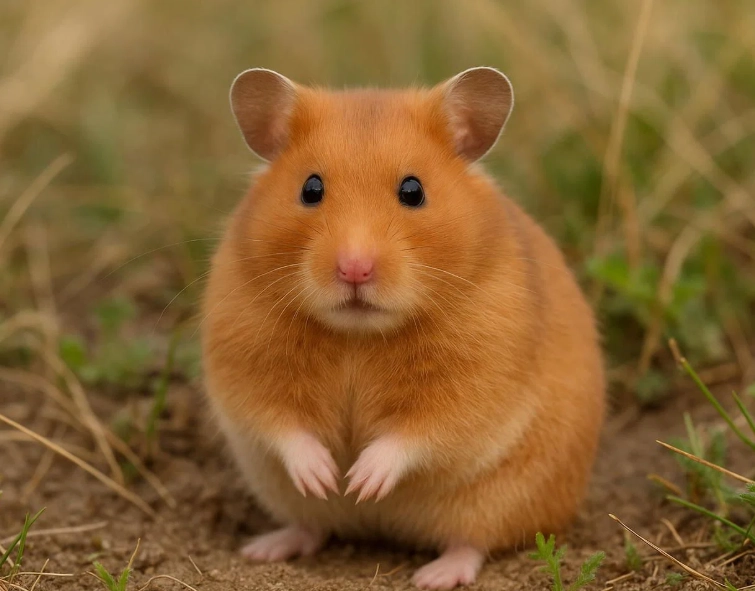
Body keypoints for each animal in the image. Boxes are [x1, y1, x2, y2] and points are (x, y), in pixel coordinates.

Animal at [201, 67, 605, 590]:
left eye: (413, 191)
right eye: (310, 189)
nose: (354, 269)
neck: (357, 334)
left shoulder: (474, 383)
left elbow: (418, 433)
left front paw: (361, 481)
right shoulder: (244, 365)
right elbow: (282, 424)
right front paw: (327, 477)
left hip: (500, 502)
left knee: (472, 542)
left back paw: (433, 574)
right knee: (312, 526)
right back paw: (266, 547)